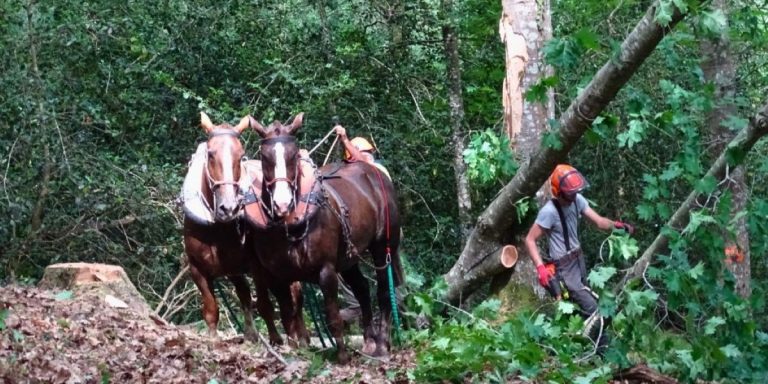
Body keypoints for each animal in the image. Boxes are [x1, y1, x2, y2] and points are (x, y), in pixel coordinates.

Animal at [183, 111, 308, 344]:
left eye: (240, 155)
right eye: (210, 154)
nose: (229, 207)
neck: (217, 226)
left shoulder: (256, 266)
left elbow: (265, 305)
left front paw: (276, 340)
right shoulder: (197, 268)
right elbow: (211, 309)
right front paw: (213, 339)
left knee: (294, 295)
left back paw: (300, 337)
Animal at [244, 112, 402, 364]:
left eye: (293, 155)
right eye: (265, 156)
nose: (282, 204)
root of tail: (372, 171)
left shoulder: (326, 269)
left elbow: (332, 316)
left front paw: (343, 357)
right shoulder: (278, 276)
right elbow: (288, 314)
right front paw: (298, 353)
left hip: (383, 245)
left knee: (384, 290)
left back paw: (382, 345)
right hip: (348, 257)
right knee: (362, 288)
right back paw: (369, 341)